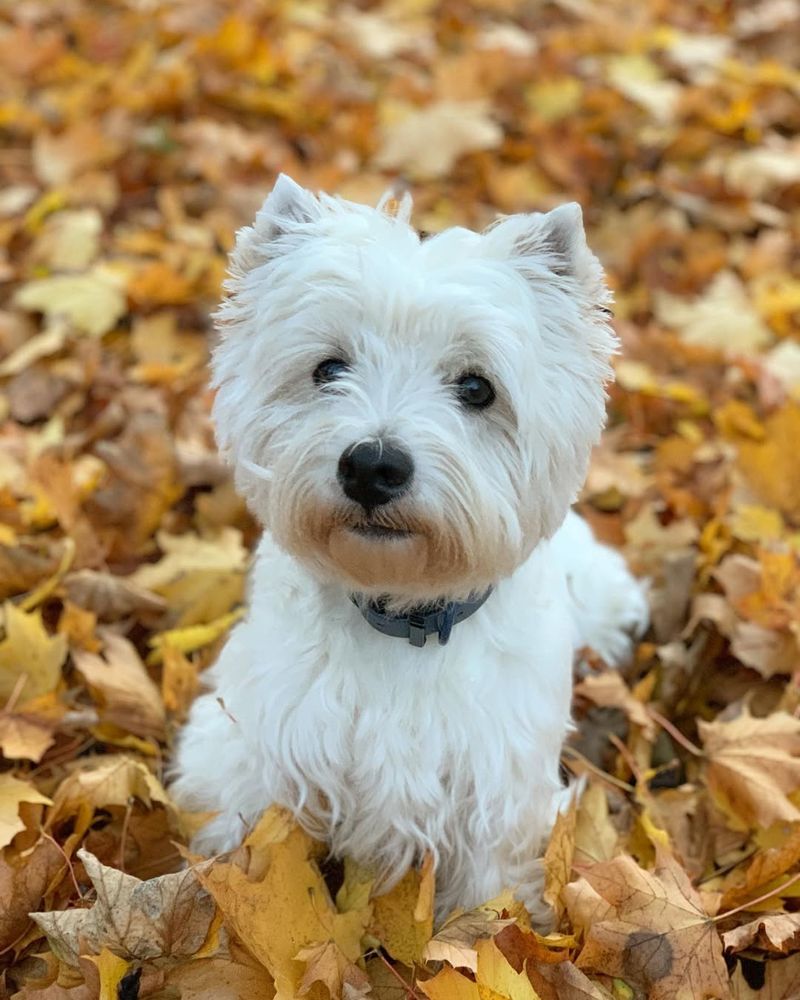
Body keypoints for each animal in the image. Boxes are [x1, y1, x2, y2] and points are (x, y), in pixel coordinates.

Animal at [170, 176, 648, 924]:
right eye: (327, 368)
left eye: (477, 387)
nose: (372, 466)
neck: (403, 615)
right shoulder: (249, 748)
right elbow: (244, 852)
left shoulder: (494, 793)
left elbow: (487, 900)